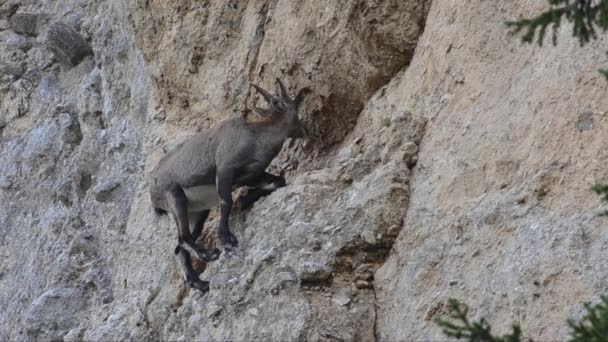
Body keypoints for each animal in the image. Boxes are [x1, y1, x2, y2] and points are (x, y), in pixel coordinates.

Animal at [148, 79, 308, 292]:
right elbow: (226, 202)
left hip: (197, 213)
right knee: (182, 238)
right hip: (174, 196)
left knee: (180, 248)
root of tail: (152, 190)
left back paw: (200, 283)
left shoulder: (251, 176)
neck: (255, 137)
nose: (306, 131)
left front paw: (245, 200)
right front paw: (227, 238)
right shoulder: (224, 170)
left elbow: (278, 181)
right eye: (295, 107)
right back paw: (210, 255)